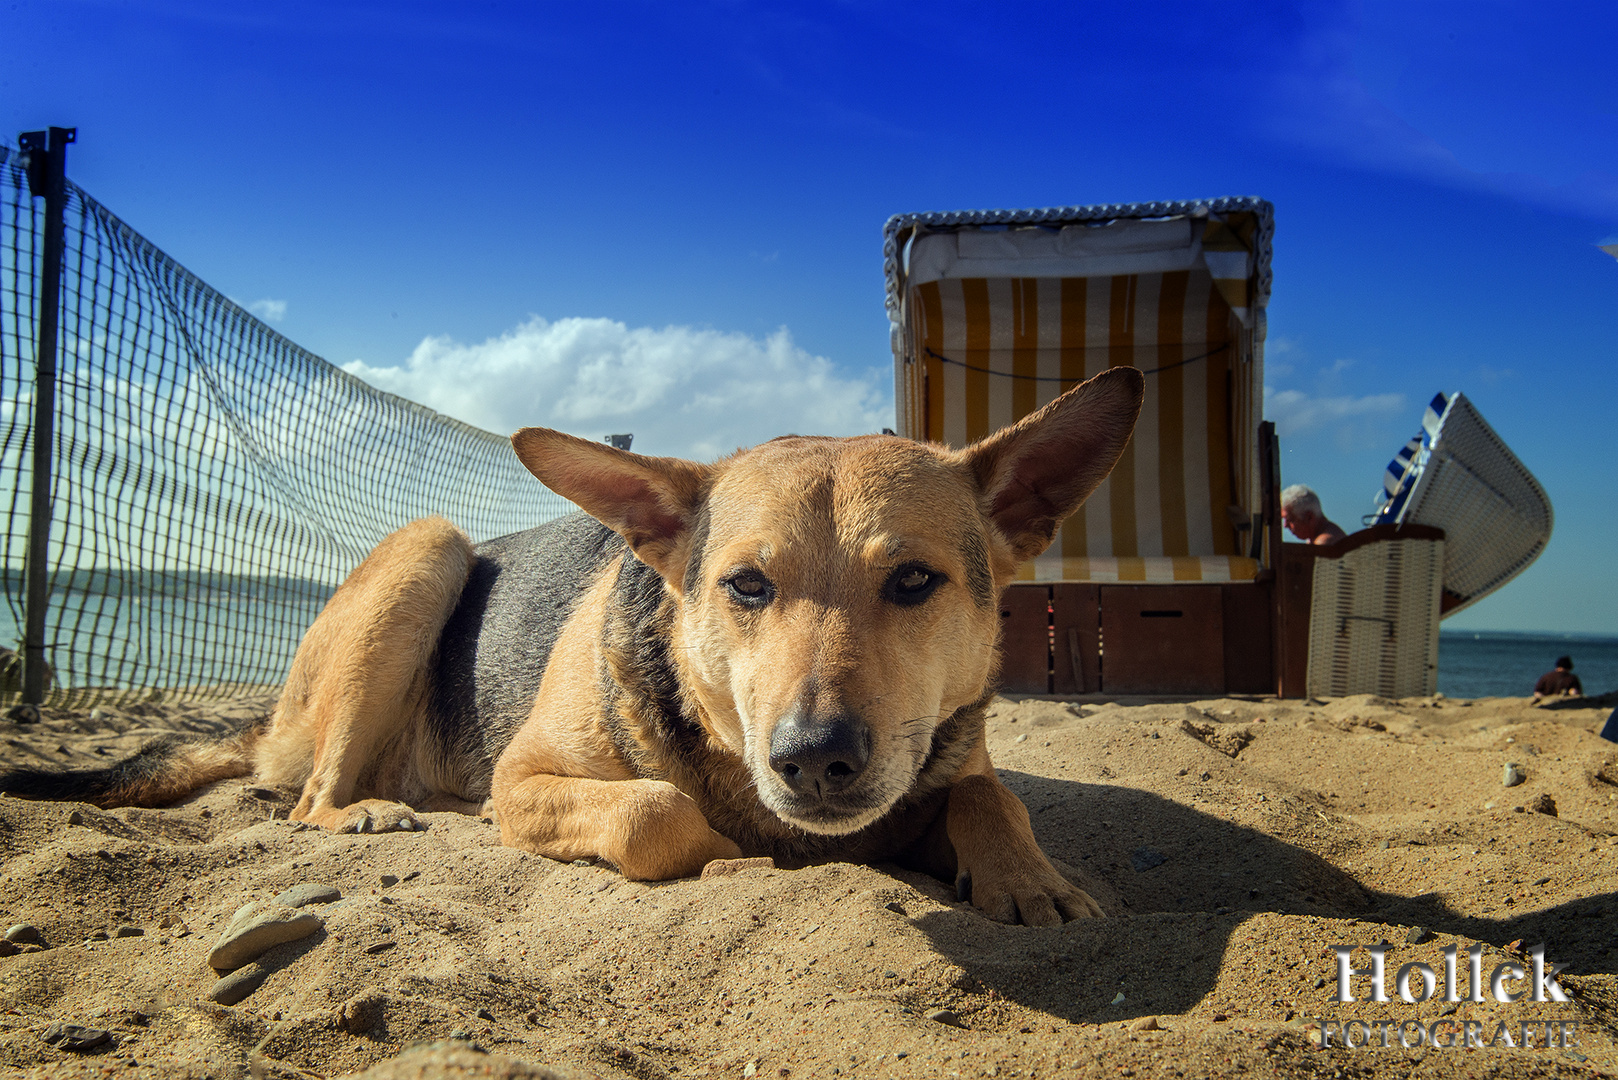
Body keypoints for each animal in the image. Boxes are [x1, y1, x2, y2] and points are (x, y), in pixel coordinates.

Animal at [0, 369, 1145, 919]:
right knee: (306, 801)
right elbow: (654, 811)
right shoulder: (530, 779)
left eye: (913, 582)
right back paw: (365, 811)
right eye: (746, 585)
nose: (814, 758)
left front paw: (1031, 883)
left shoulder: (950, 751)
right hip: (426, 550)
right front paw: (729, 856)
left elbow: (987, 794)